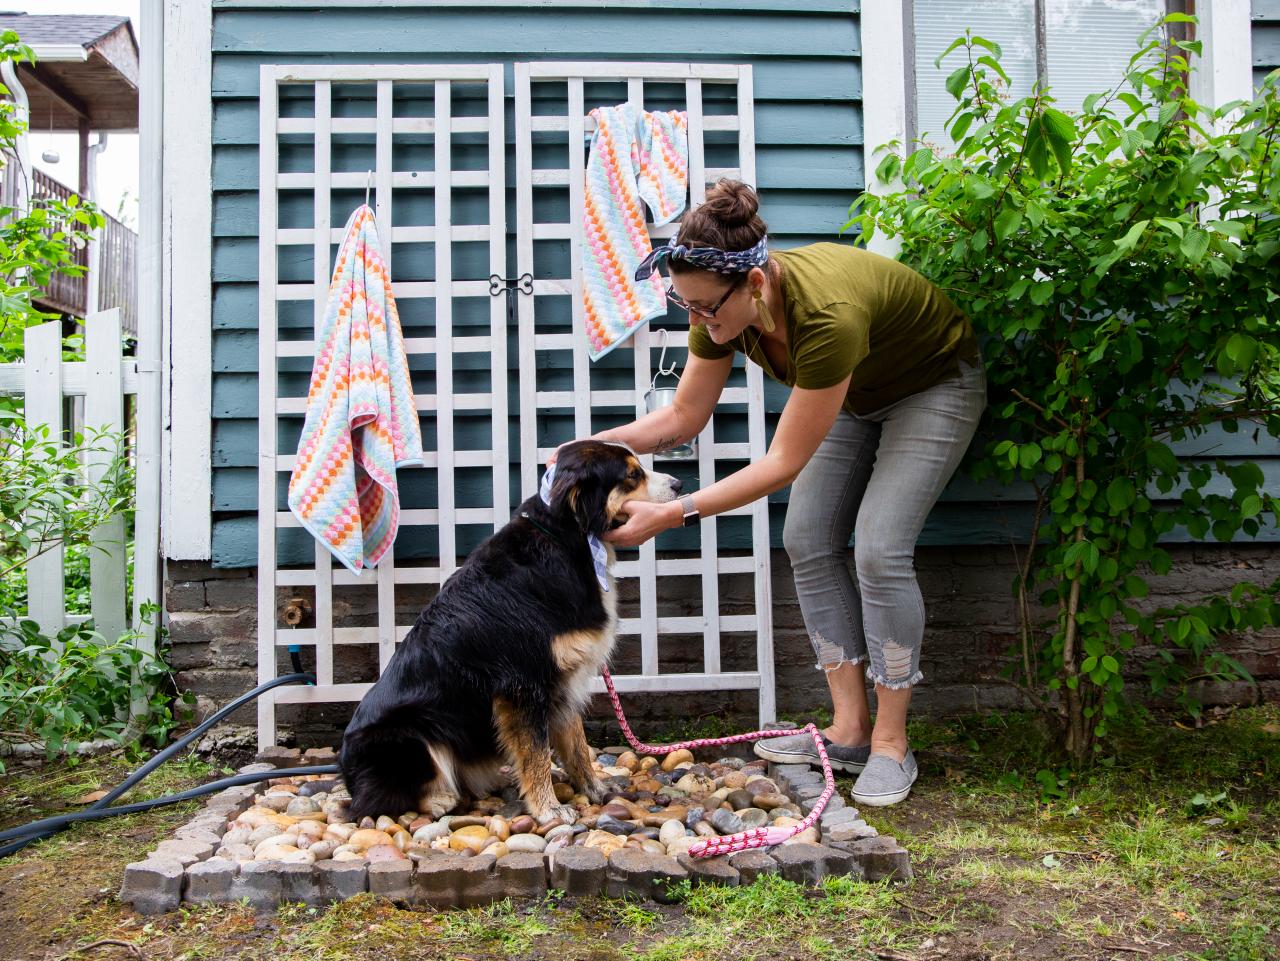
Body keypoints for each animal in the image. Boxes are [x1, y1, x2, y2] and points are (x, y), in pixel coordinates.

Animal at [337, 440, 680, 824]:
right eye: (632, 475)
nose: (680, 485)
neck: (566, 539)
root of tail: (349, 774)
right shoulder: (522, 685)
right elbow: (535, 753)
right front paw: (549, 809)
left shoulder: (564, 681)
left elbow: (576, 745)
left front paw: (594, 790)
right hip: (407, 736)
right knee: (371, 804)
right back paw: (441, 799)